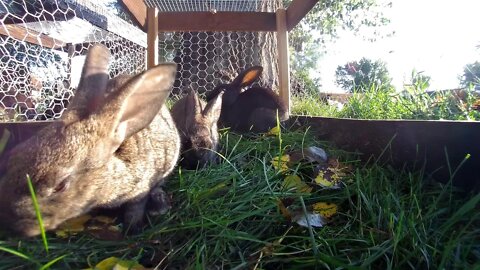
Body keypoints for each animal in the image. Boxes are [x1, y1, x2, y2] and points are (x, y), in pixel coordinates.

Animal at [0, 44, 180, 236]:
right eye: (12, 157)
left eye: (61, 185)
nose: (8, 224)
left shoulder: (140, 189)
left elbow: (135, 208)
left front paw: (132, 228)